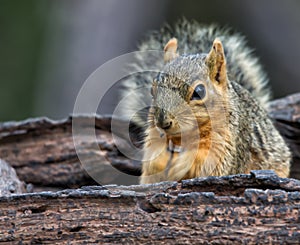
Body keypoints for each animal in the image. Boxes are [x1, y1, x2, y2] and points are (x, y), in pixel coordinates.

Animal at [119, 19, 290, 184]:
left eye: (199, 92)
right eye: (152, 89)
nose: (163, 122)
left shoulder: (225, 145)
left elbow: (204, 161)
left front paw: (181, 165)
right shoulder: (154, 134)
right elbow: (152, 160)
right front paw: (159, 161)